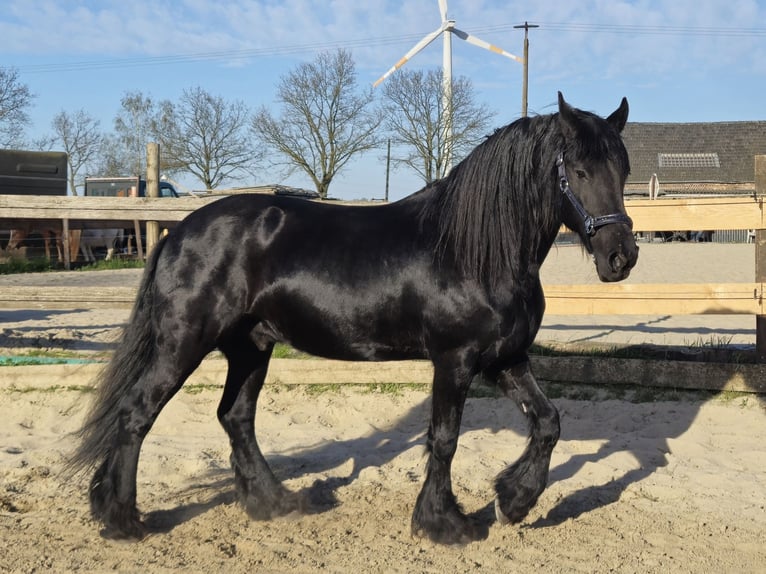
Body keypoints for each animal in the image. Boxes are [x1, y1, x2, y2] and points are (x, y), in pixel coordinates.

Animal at [68, 92, 638, 545]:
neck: (473, 250)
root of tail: (177, 234)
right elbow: (445, 438)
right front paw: (444, 524)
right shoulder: (454, 361)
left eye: (624, 171)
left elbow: (547, 422)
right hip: (184, 342)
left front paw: (512, 501)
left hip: (251, 346)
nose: (621, 257)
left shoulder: (505, 358)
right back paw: (122, 520)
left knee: (235, 417)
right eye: (579, 171)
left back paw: (274, 503)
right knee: (137, 413)